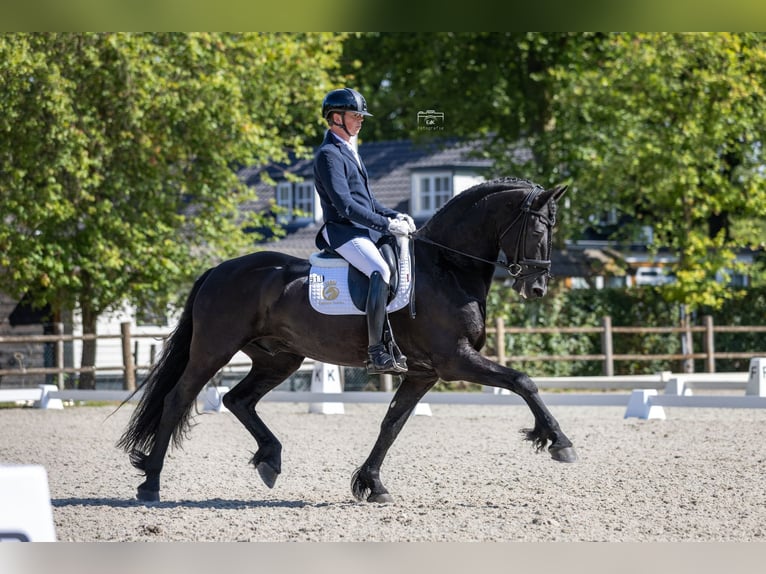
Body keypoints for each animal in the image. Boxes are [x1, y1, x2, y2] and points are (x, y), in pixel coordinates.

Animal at [117, 176, 577, 504]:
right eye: (539, 230)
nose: (536, 288)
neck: (447, 267)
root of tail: (218, 270)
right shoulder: (454, 360)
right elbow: (523, 381)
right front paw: (559, 442)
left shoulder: (424, 373)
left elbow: (392, 423)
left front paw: (371, 484)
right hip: (214, 349)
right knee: (178, 399)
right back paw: (151, 485)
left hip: (278, 358)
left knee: (238, 399)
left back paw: (270, 459)